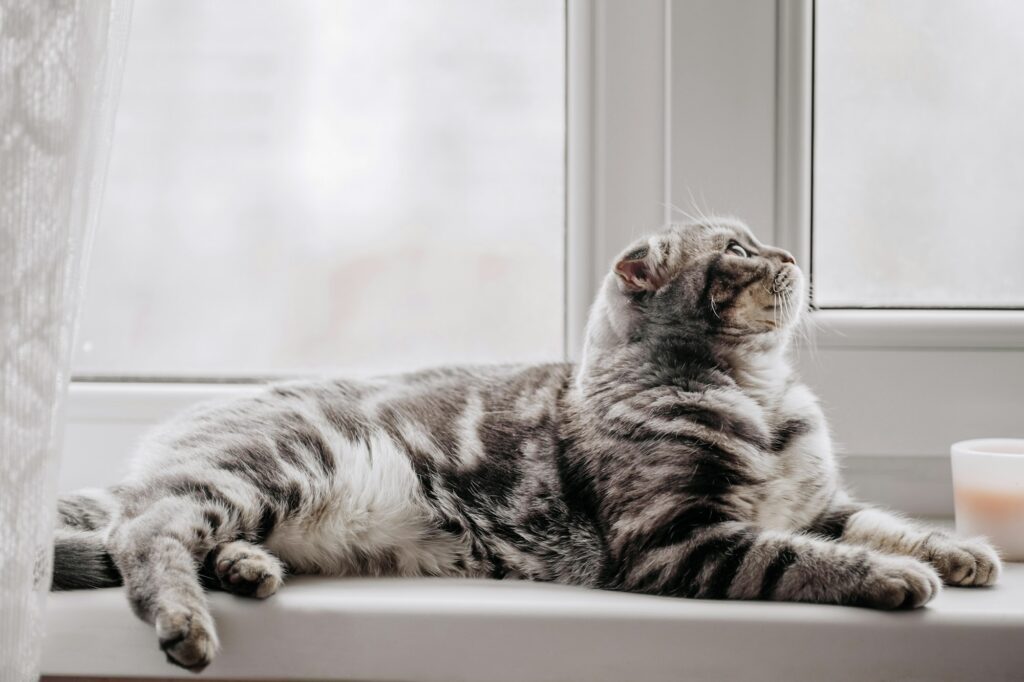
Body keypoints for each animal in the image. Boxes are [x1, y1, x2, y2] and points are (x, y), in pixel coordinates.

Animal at [51, 218, 995, 667]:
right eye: (738, 247)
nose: (791, 251)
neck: (761, 395)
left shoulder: (817, 503)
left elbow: (884, 523)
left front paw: (961, 552)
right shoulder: (681, 538)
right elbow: (805, 558)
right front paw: (895, 579)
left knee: (164, 531)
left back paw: (248, 568)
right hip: (271, 470)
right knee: (143, 535)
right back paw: (187, 620)